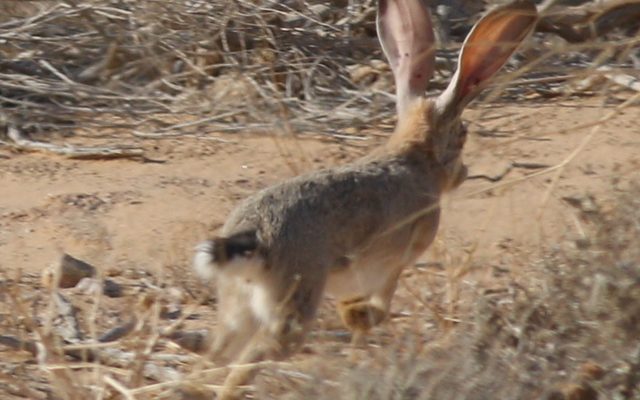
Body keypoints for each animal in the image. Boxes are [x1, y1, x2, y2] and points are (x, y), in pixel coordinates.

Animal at [193, 0, 538, 397]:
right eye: (462, 135)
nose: (463, 173)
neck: (412, 156)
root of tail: (253, 235)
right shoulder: (395, 262)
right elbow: (382, 307)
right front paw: (359, 317)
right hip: (296, 300)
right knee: (254, 358)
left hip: (237, 305)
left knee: (218, 351)